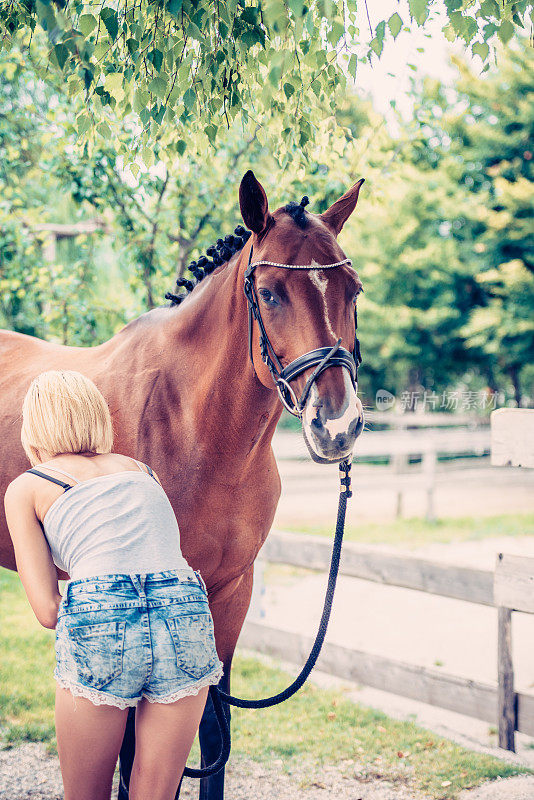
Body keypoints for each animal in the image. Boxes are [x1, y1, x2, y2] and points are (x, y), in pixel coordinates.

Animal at [0, 172, 366, 796]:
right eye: (271, 293)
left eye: (353, 289)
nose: (336, 423)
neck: (196, 428)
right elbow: (130, 754)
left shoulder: (228, 594)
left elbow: (213, 738)